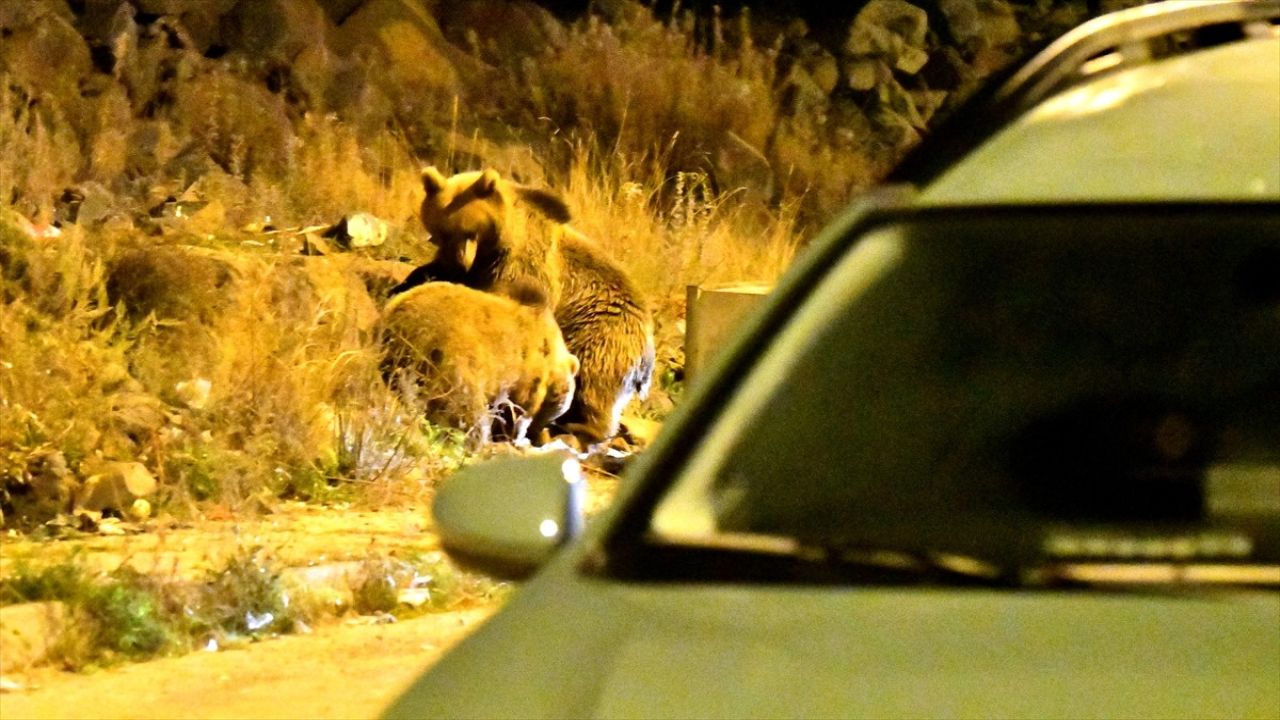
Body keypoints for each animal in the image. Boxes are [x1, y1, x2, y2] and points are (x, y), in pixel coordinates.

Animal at [376, 279, 578, 443]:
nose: (539, 433)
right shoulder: (527, 376)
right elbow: (516, 411)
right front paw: (512, 434)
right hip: (452, 358)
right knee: (465, 408)